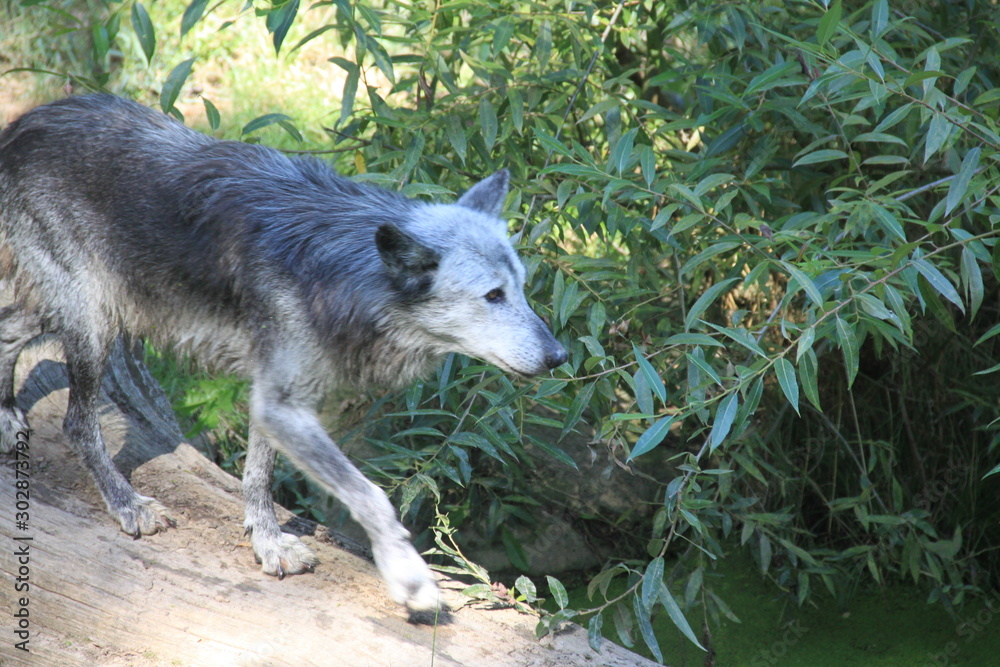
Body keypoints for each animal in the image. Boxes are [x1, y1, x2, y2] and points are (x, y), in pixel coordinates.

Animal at [0, 94, 567, 613]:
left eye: (521, 287)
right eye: (493, 296)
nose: (559, 356)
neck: (341, 273)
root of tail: (26, 122)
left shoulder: (273, 395)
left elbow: (259, 474)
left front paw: (266, 541)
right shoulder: (282, 403)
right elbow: (372, 495)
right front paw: (408, 576)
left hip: (77, 310)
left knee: (9, 327)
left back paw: (7, 416)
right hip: (95, 321)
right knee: (77, 422)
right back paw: (127, 503)